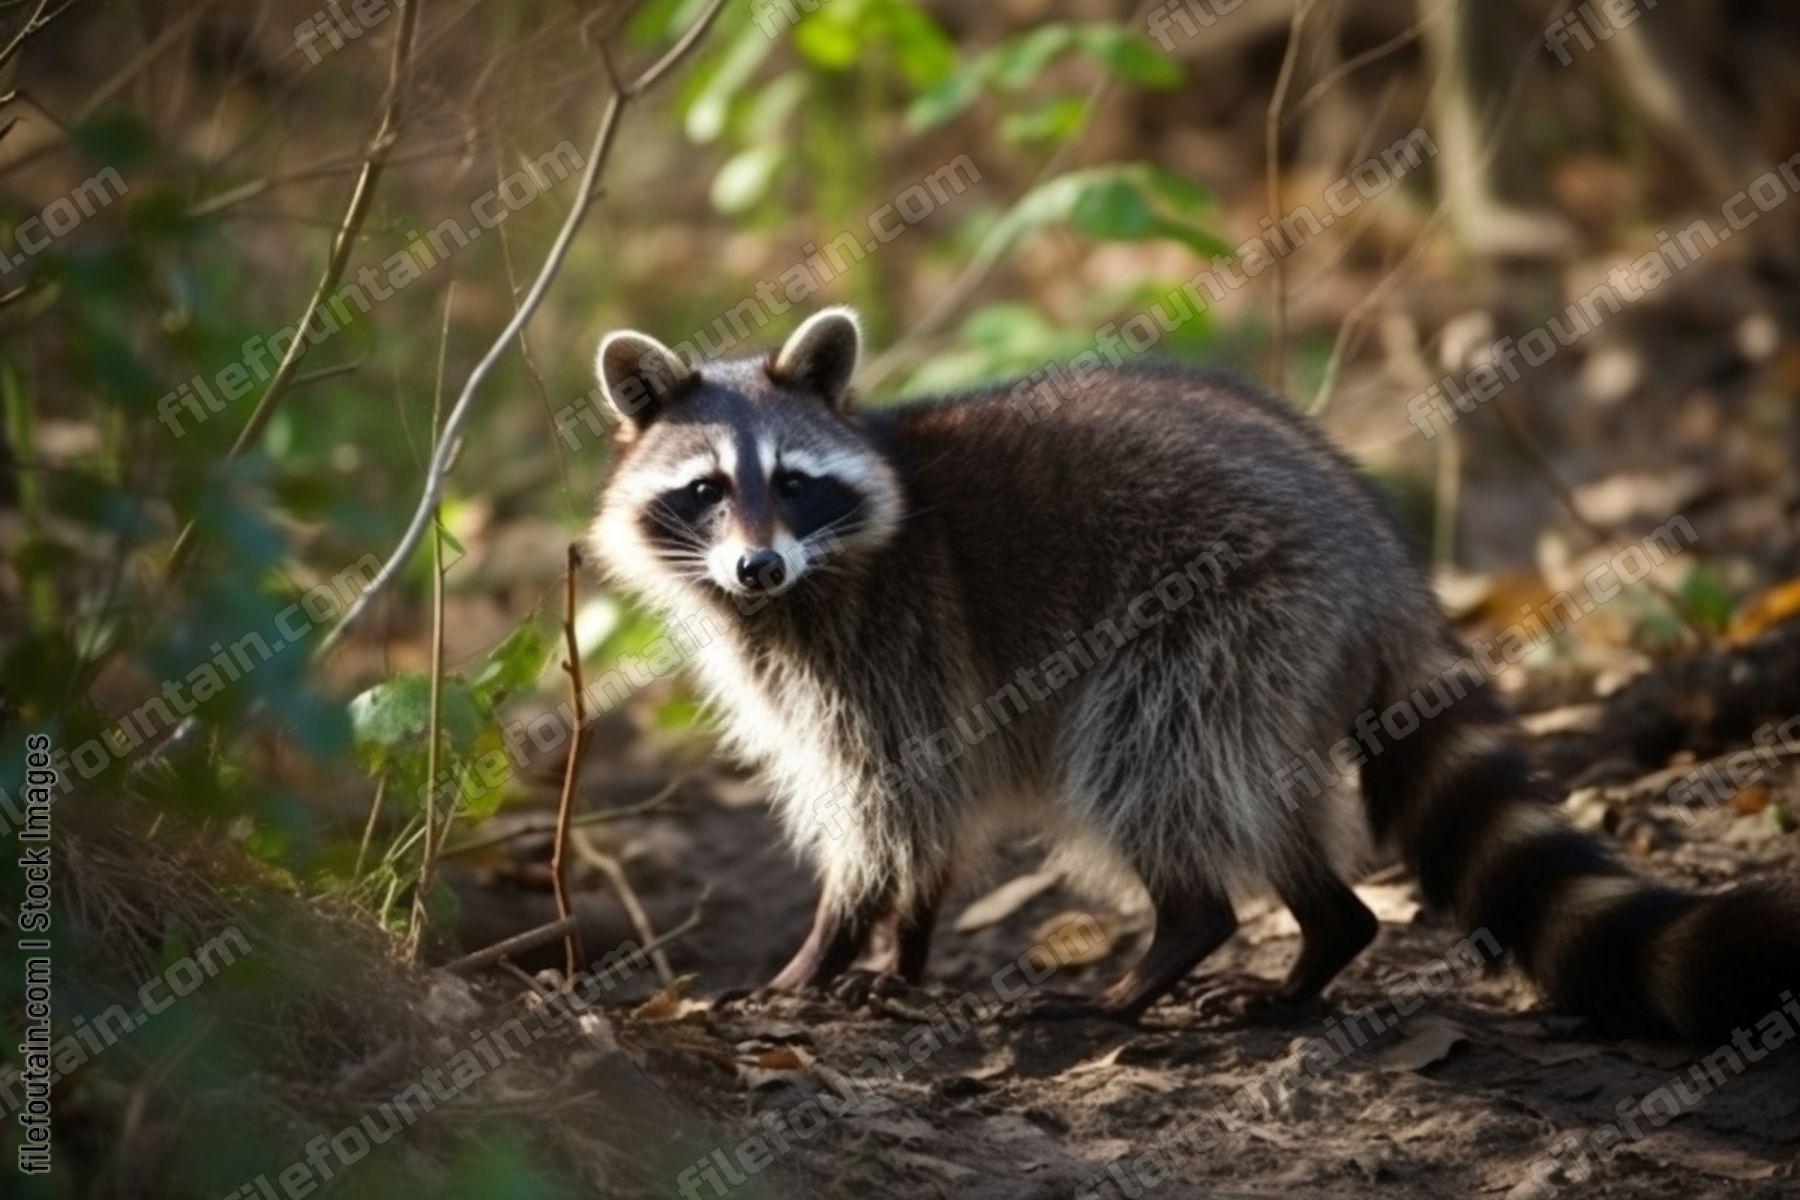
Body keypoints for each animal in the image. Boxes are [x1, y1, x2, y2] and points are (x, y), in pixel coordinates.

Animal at [588, 306, 1799, 1039]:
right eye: (706, 490)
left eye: (792, 482)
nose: (757, 564)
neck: (794, 589)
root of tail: (1381, 565)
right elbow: (925, 823)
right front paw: (903, 952)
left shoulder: (892, 644)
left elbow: (893, 807)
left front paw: (826, 952)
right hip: (1278, 665)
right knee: (1256, 799)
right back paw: (1325, 934)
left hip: (1219, 616)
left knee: (1147, 767)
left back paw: (1174, 941)